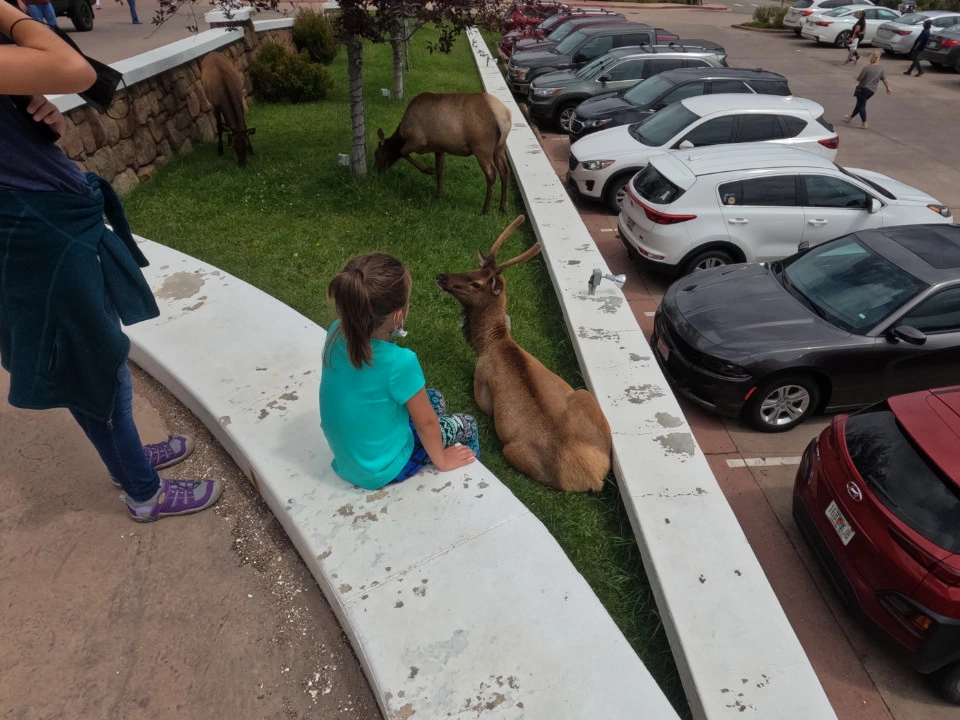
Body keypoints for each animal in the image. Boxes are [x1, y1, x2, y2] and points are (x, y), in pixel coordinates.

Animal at [374, 91, 510, 214]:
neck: (401, 136)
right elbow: (440, 170)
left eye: (377, 154)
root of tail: (505, 116)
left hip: (482, 147)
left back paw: (486, 209)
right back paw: (502, 207)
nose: (376, 170)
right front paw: (439, 195)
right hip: (499, 148)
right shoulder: (439, 148)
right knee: (505, 171)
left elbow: (402, 152)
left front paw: (429, 170)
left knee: (492, 174)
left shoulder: (418, 140)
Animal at [436, 217, 612, 492]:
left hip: (511, 450)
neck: (490, 344)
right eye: (471, 269)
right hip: (586, 397)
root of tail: (592, 477)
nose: (442, 276)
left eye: (476, 283)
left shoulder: (481, 384)